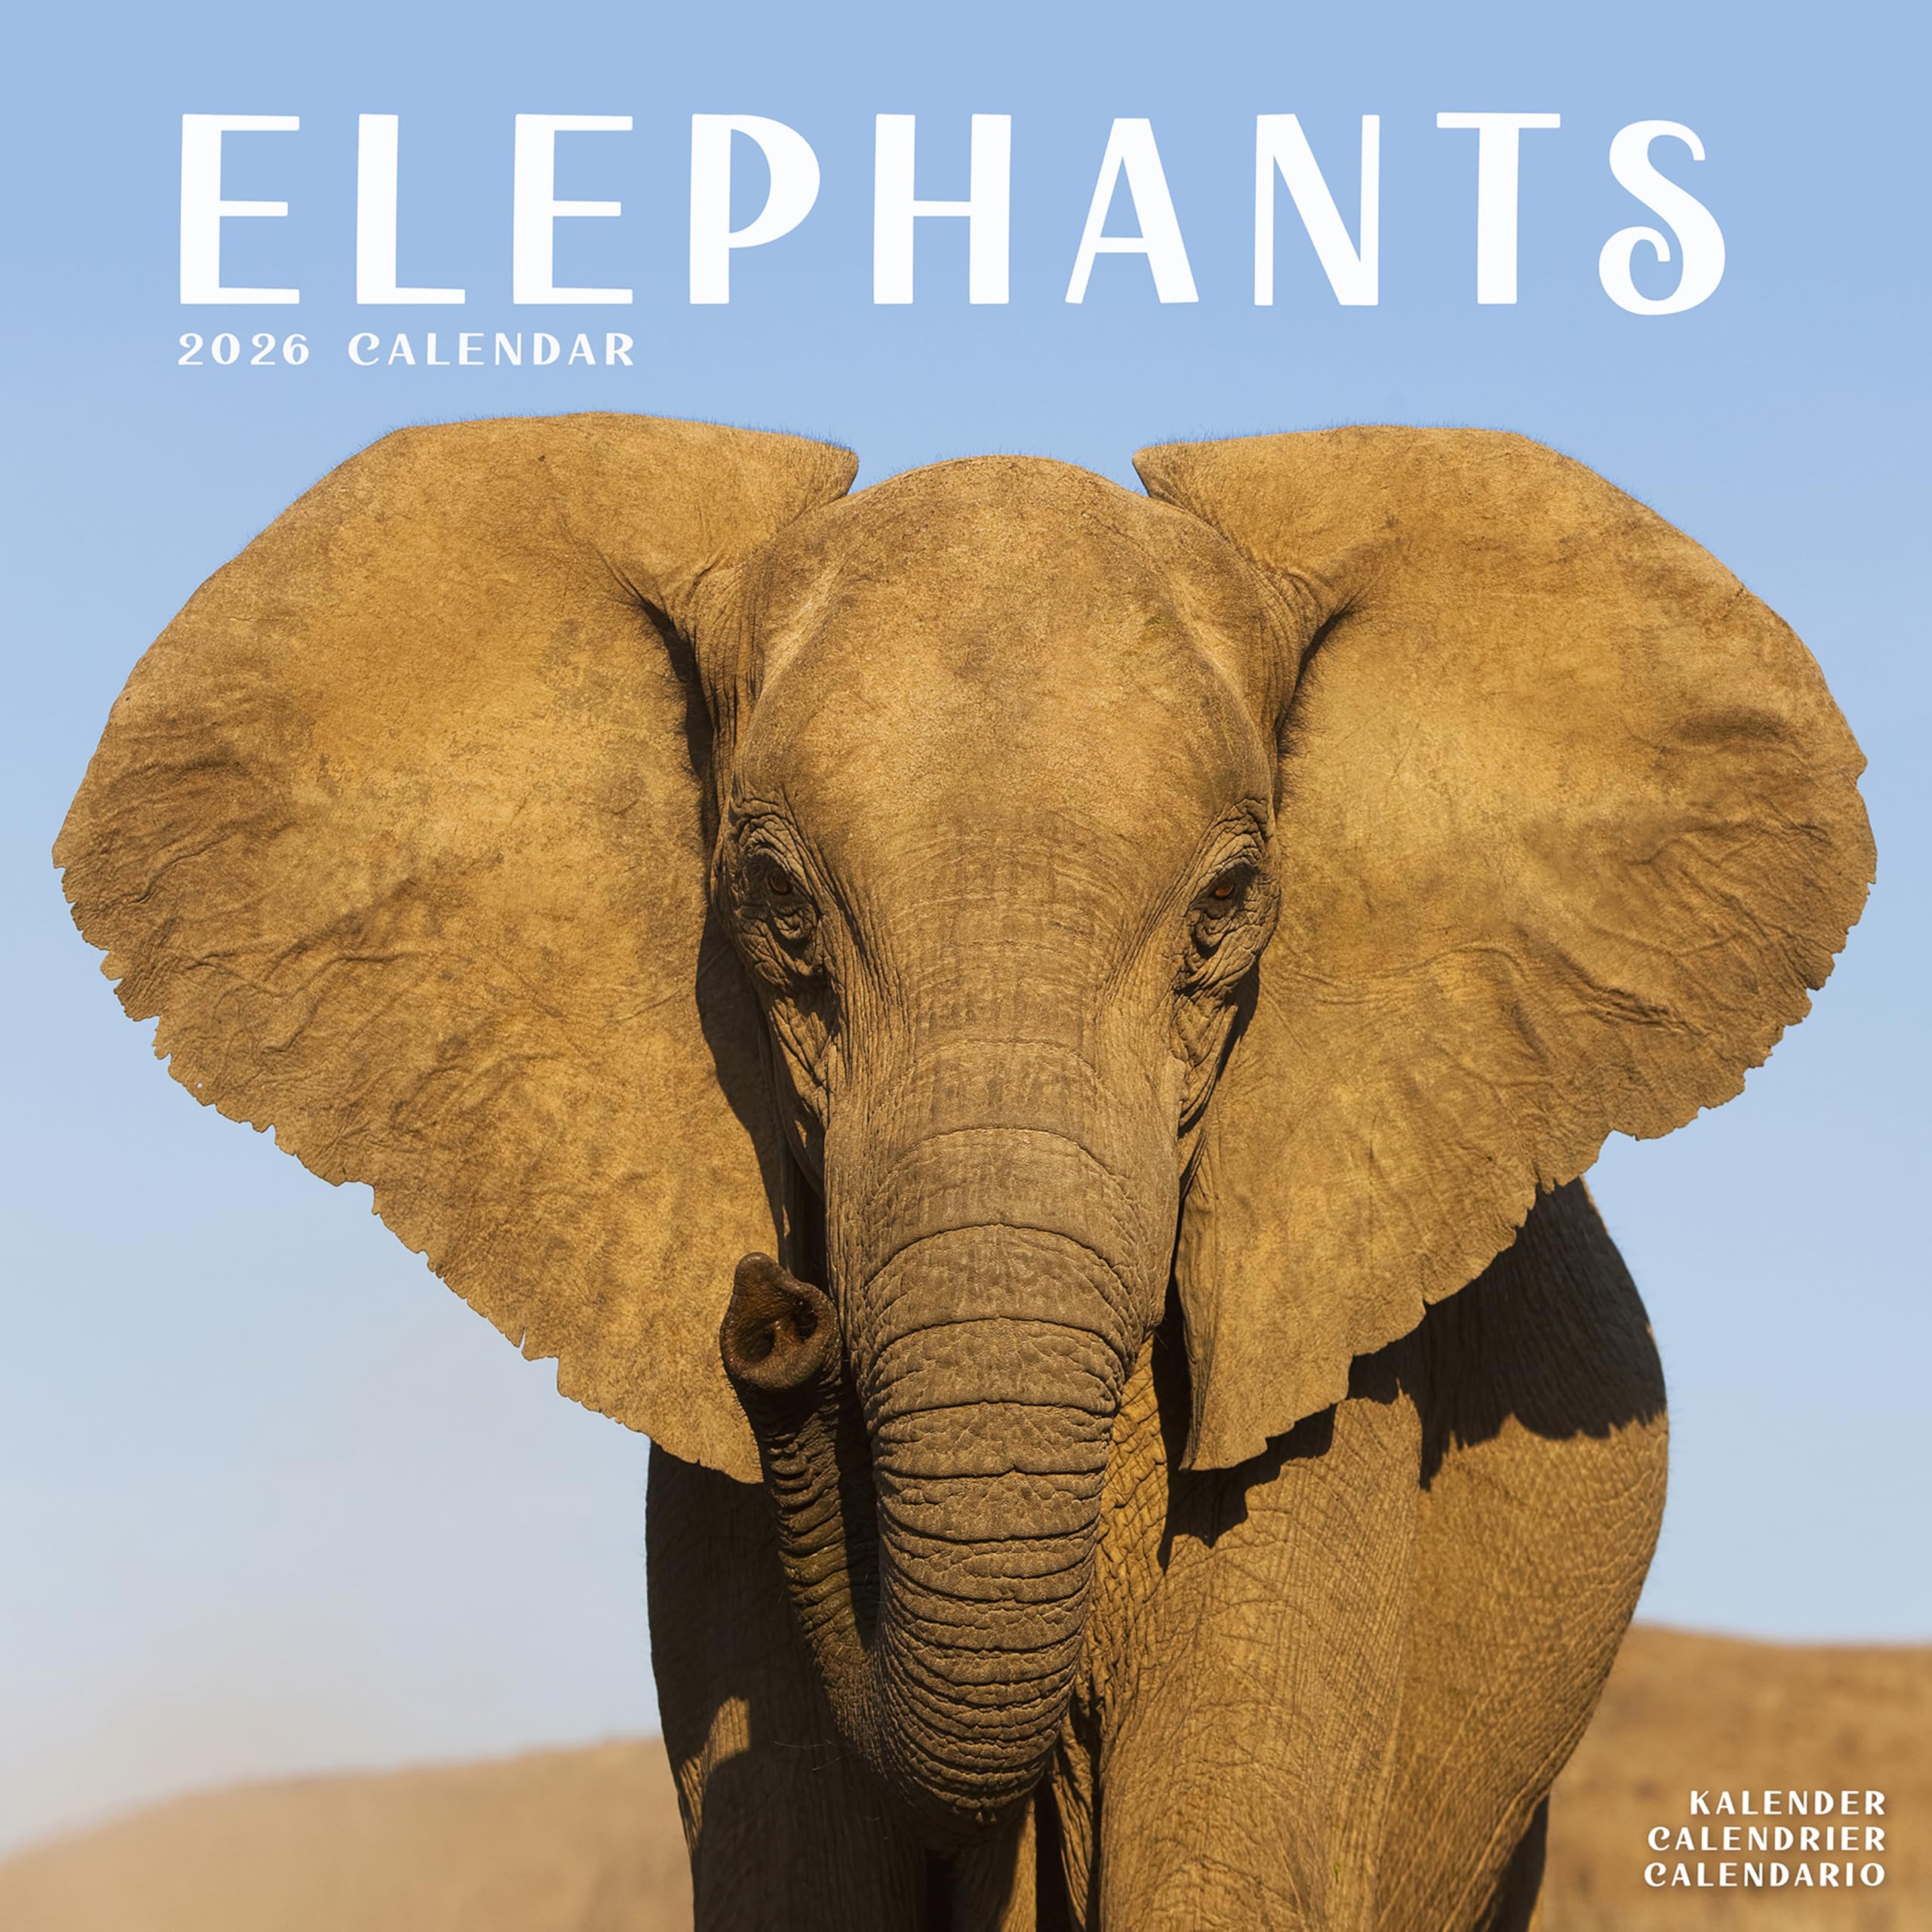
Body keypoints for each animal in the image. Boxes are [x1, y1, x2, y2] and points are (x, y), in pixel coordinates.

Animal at [56, 414, 1872, 1931]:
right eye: (777, 907)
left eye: (1229, 909)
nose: (776, 1316)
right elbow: (795, 1875)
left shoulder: (1341, 1391)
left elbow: (1218, 1879)